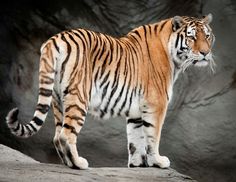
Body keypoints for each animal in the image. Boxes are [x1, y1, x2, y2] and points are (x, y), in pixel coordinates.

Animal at [5, 14, 216, 169]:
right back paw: (79, 164)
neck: (173, 56)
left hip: (57, 98)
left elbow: (135, 138)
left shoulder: (136, 110)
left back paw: (68, 163)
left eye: (207, 36)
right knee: (65, 135)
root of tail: (55, 39)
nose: (205, 53)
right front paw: (158, 161)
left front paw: (137, 164)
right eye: (192, 37)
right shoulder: (156, 104)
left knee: (57, 136)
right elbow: (153, 135)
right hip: (79, 97)